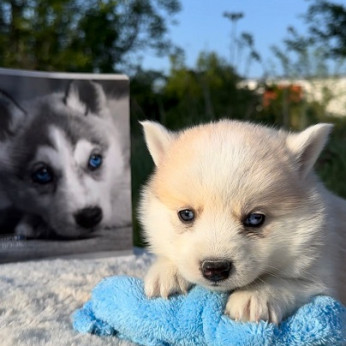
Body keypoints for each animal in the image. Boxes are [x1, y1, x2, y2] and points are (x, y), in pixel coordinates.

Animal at [139, 119, 346, 324]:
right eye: (186, 214)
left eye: (255, 219)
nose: (215, 268)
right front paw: (166, 273)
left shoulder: (323, 275)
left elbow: (291, 281)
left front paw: (254, 296)